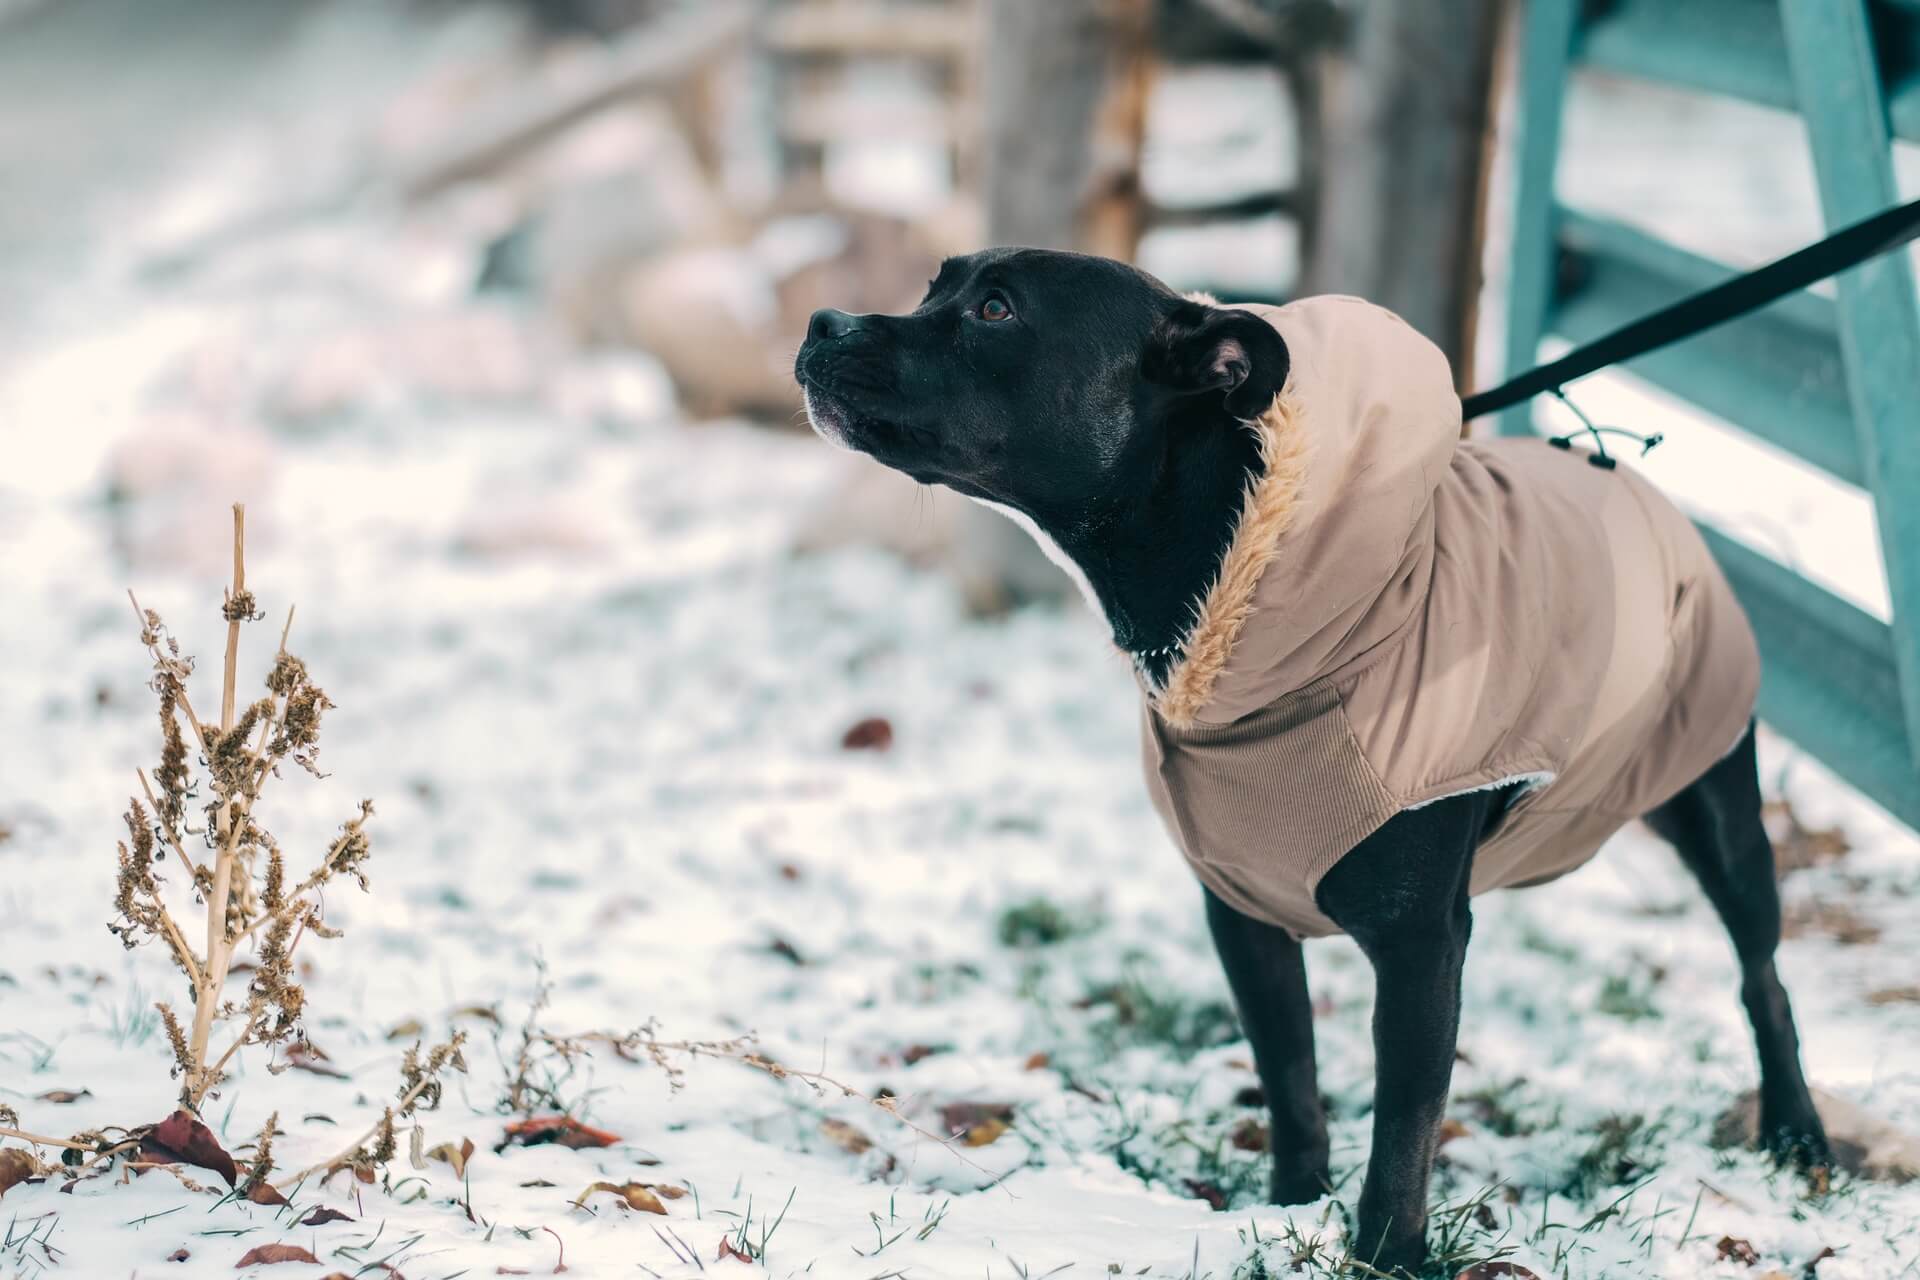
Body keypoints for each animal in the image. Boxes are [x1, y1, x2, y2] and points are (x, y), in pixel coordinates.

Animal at [794, 247, 1827, 1274]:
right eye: (936, 287)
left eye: (996, 311)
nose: (823, 323)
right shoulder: (1243, 914)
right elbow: (1290, 1076)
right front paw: (1293, 1203)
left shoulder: (1419, 945)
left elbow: (1404, 1127)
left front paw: (1388, 1255)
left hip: (1718, 805)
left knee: (1764, 976)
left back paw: (1797, 1134)